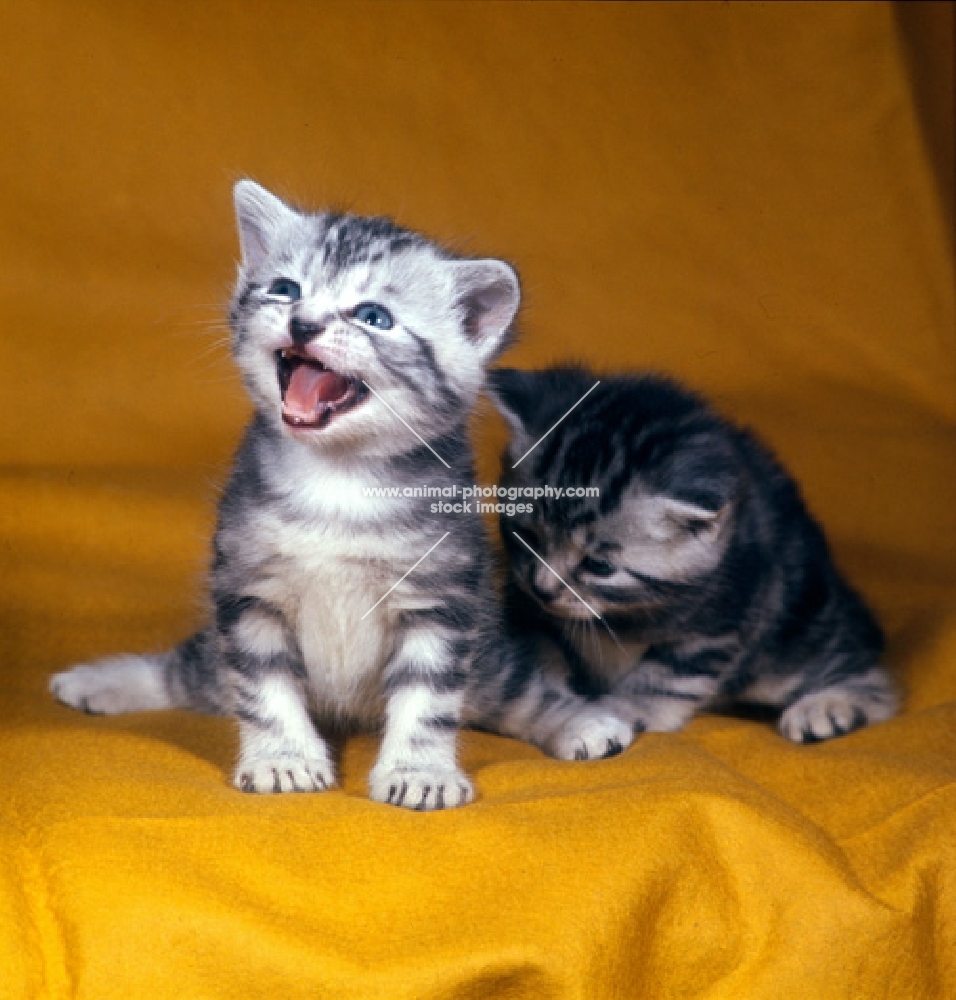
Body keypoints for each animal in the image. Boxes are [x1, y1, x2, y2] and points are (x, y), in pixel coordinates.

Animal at [482, 364, 900, 752]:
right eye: (529, 537)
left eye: (599, 566)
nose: (543, 589)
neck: (618, 617)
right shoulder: (525, 606)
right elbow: (535, 655)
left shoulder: (719, 624)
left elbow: (663, 680)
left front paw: (614, 711)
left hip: (788, 642)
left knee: (873, 680)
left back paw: (825, 708)